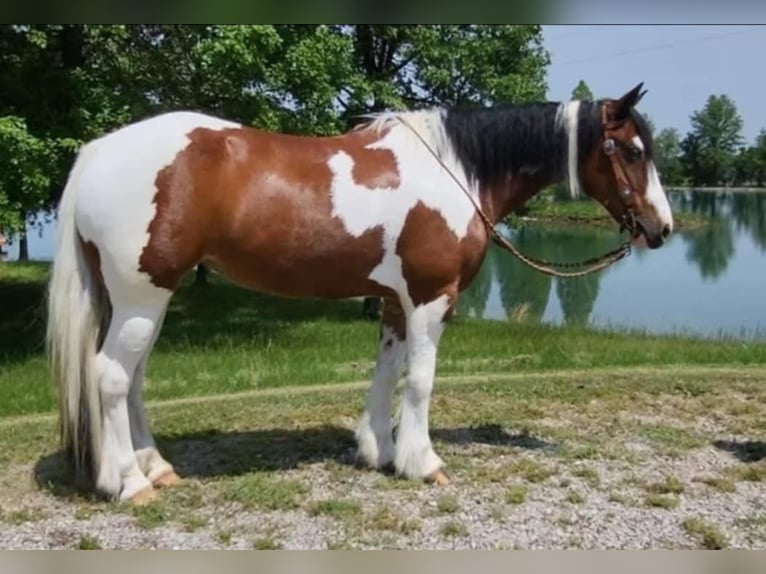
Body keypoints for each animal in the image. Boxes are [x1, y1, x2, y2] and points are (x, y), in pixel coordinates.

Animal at [46, 82, 674, 504]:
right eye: (632, 151)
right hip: (141, 297)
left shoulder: (395, 301)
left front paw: (381, 452)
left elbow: (386, 373)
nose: (662, 228)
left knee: (133, 381)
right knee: (111, 377)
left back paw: (156, 468)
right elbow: (420, 381)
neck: (456, 171)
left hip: (143, 301)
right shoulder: (430, 298)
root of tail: (100, 151)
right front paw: (423, 462)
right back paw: (129, 483)